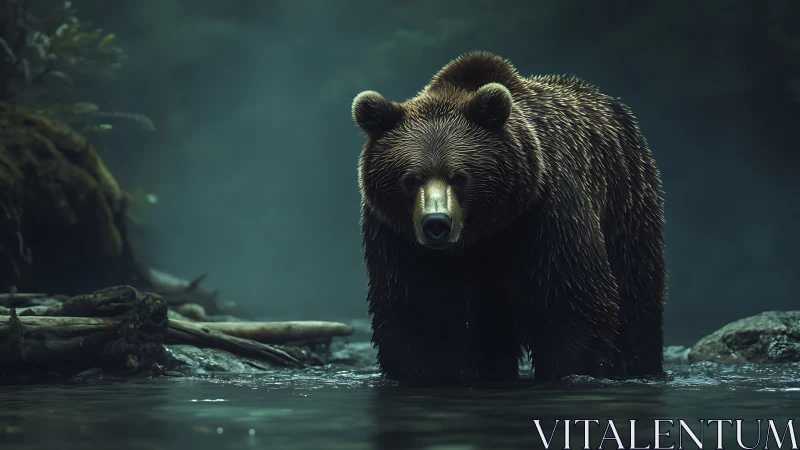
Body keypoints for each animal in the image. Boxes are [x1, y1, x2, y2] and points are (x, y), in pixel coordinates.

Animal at [352, 51, 666, 383]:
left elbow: (570, 302)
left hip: (625, 203)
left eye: (460, 176)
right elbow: (415, 312)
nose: (436, 223)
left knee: (636, 296)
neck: (484, 231)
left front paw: (572, 369)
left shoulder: (546, 213)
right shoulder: (397, 237)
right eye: (411, 179)